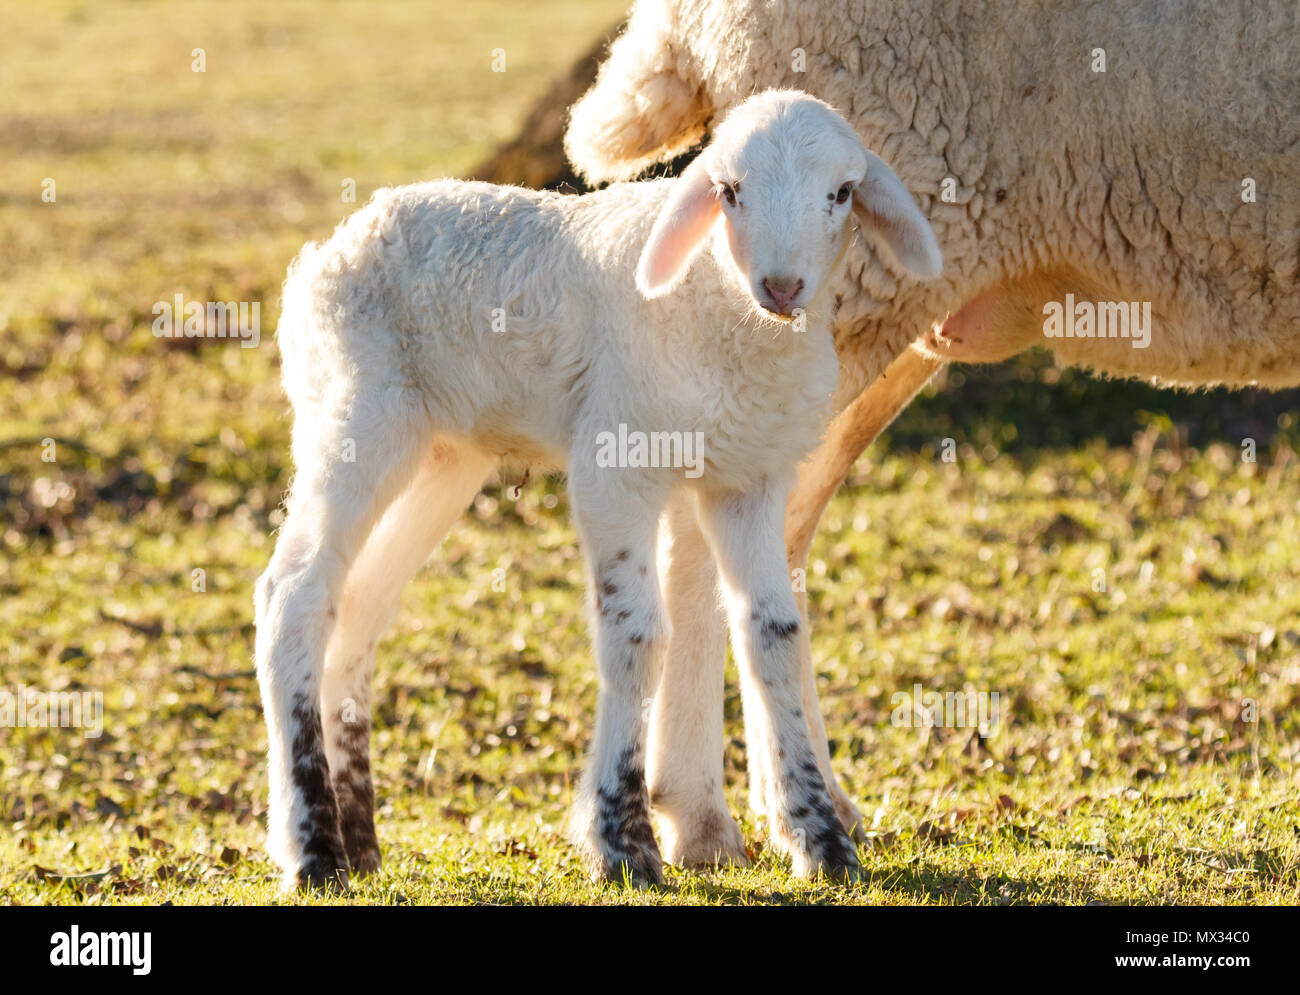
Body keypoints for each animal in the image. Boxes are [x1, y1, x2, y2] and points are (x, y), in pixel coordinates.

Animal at [253, 89, 942, 889]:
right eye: (728, 191)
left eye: (841, 194)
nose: (781, 285)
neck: (724, 307)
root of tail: (332, 246)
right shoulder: (616, 465)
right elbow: (638, 634)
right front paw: (622, 839)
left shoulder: (748, 478)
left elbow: (772, 632)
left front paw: (821, 838)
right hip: (353, 414)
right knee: (294, 594)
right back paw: (312, 846)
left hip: (442, 453)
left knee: (358, 603)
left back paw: (359, 838)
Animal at [564, 0, 1300, 864]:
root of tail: (682, 19)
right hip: (834, 268)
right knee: (701, 536)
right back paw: (702, 813)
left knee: (775, 541)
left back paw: (804, 803)